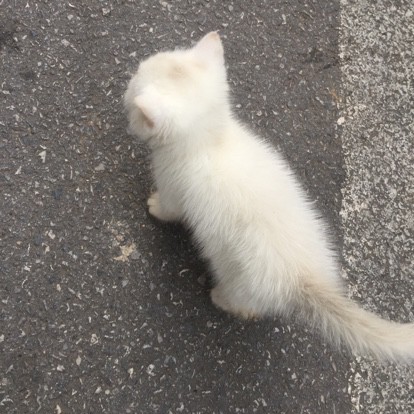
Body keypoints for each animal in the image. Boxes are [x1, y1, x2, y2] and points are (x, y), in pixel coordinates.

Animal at [124, 32, 414, 362]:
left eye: (136, 80)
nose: (128, 77)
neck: (212, 142)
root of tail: (304, 275)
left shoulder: (174, 186)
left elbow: (170, 208)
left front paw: (154, 206)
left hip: (242, 279)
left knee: (242, 303)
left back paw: (221, 298)